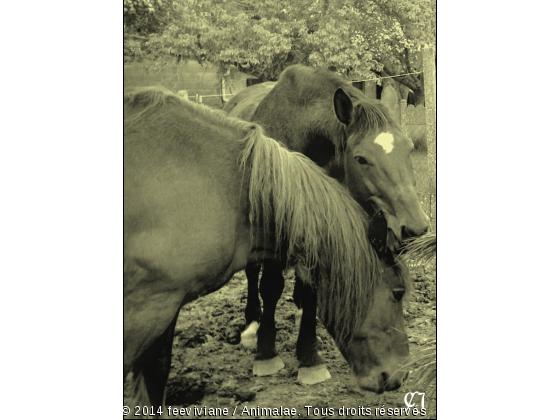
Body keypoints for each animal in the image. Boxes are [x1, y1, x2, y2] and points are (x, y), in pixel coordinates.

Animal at [223, 65, 428, 384]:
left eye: (408, 148)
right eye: (361, 158)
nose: (415, 227)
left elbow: (311, 292)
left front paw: (309, 358)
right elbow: (270, 286)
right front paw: (266, 353)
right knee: (252, 273)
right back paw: (252, 326)